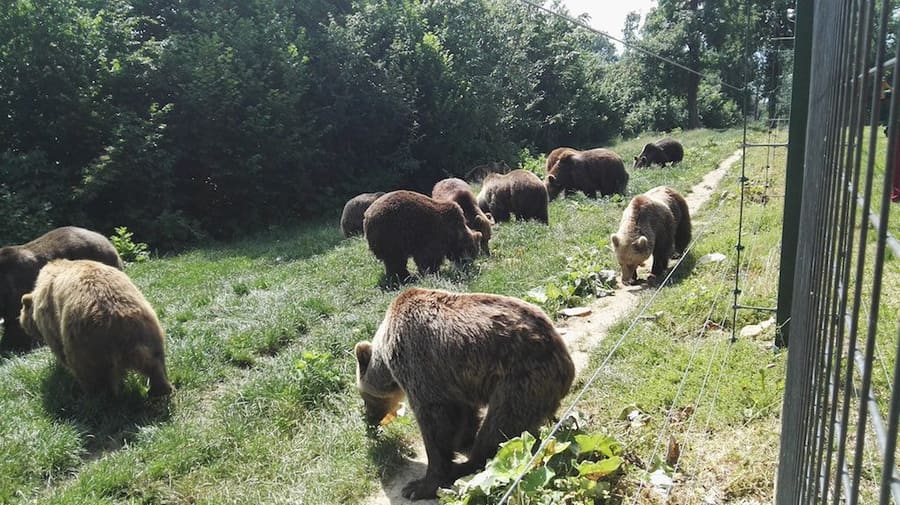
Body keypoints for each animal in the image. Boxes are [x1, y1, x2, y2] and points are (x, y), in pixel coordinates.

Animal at [18, 259, 173, 397]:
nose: (23, 326)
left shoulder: (50, 318)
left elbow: (58, 348)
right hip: (149, 329)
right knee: (156, 363)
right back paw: (160, 389)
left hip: (85, 342)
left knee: (90, 374)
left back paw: (92, 395)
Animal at [354, 287, 575, 500]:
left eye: (365, 398)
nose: (369, 419)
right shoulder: (457, 380)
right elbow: (463, 411)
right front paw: (462, 439)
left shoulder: (419, 363)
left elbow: (436, 422)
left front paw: (419, 486)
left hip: (521, 379)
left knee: (500, 425)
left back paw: (464, 467)